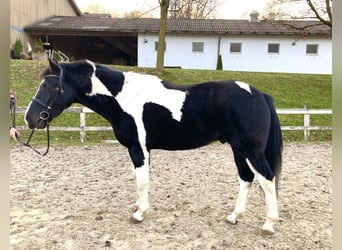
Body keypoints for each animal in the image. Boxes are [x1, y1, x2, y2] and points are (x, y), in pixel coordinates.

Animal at [24, 59, 284, 234]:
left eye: (49, 87)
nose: (30, 118)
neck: (123, 98)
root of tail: (259, 94)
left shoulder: (139, 148)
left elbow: (142, 181)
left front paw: (140, 214)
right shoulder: (137, 150)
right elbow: (138, 179)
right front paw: (137, 207)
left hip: (251, 151)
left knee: (267, 180)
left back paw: (269, 224)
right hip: (238, 149)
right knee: (246, 179)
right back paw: (234, 217)